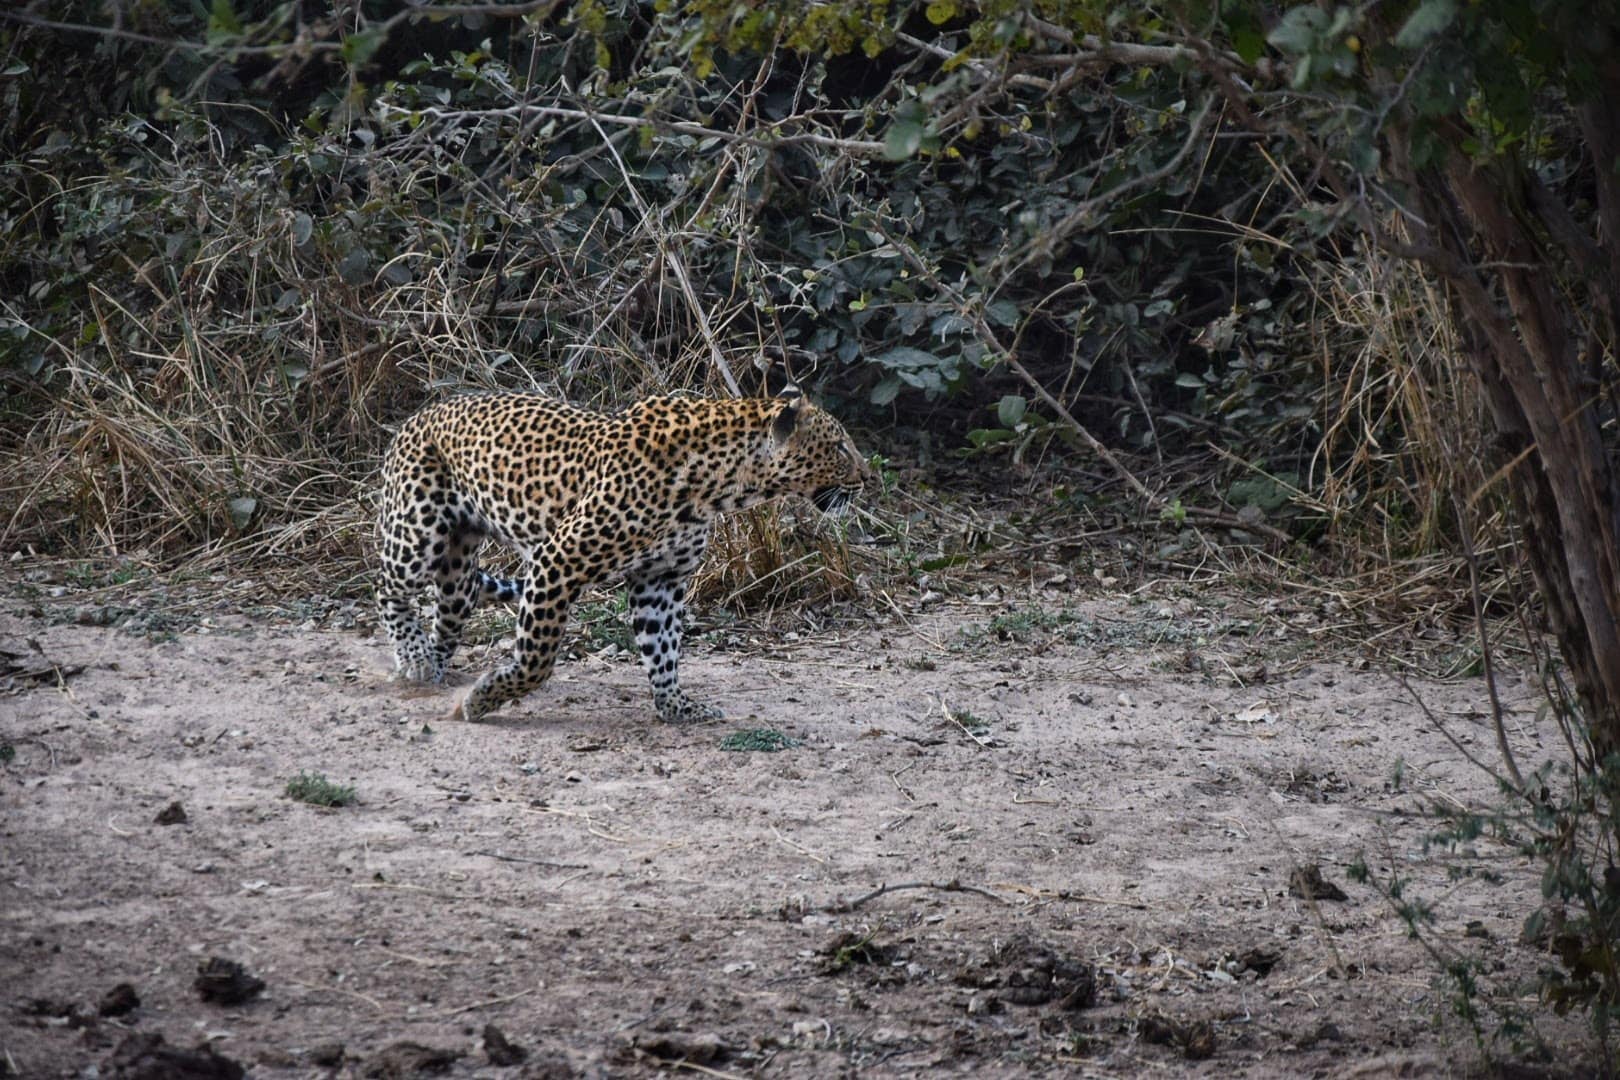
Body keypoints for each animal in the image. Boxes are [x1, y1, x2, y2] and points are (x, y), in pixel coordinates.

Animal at [375, 388, 874, 725]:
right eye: (838, 447)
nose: (868, 477)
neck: (721, 484)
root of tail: (419, 414)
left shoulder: (660, 580)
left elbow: (664, 651)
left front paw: (677, 706)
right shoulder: (558, 560)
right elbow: (537, 658)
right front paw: (482, 699)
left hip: (459, 569)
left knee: (446, 618)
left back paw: (429, 666)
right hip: (417, 535)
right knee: (386, 588)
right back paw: (414, 656)